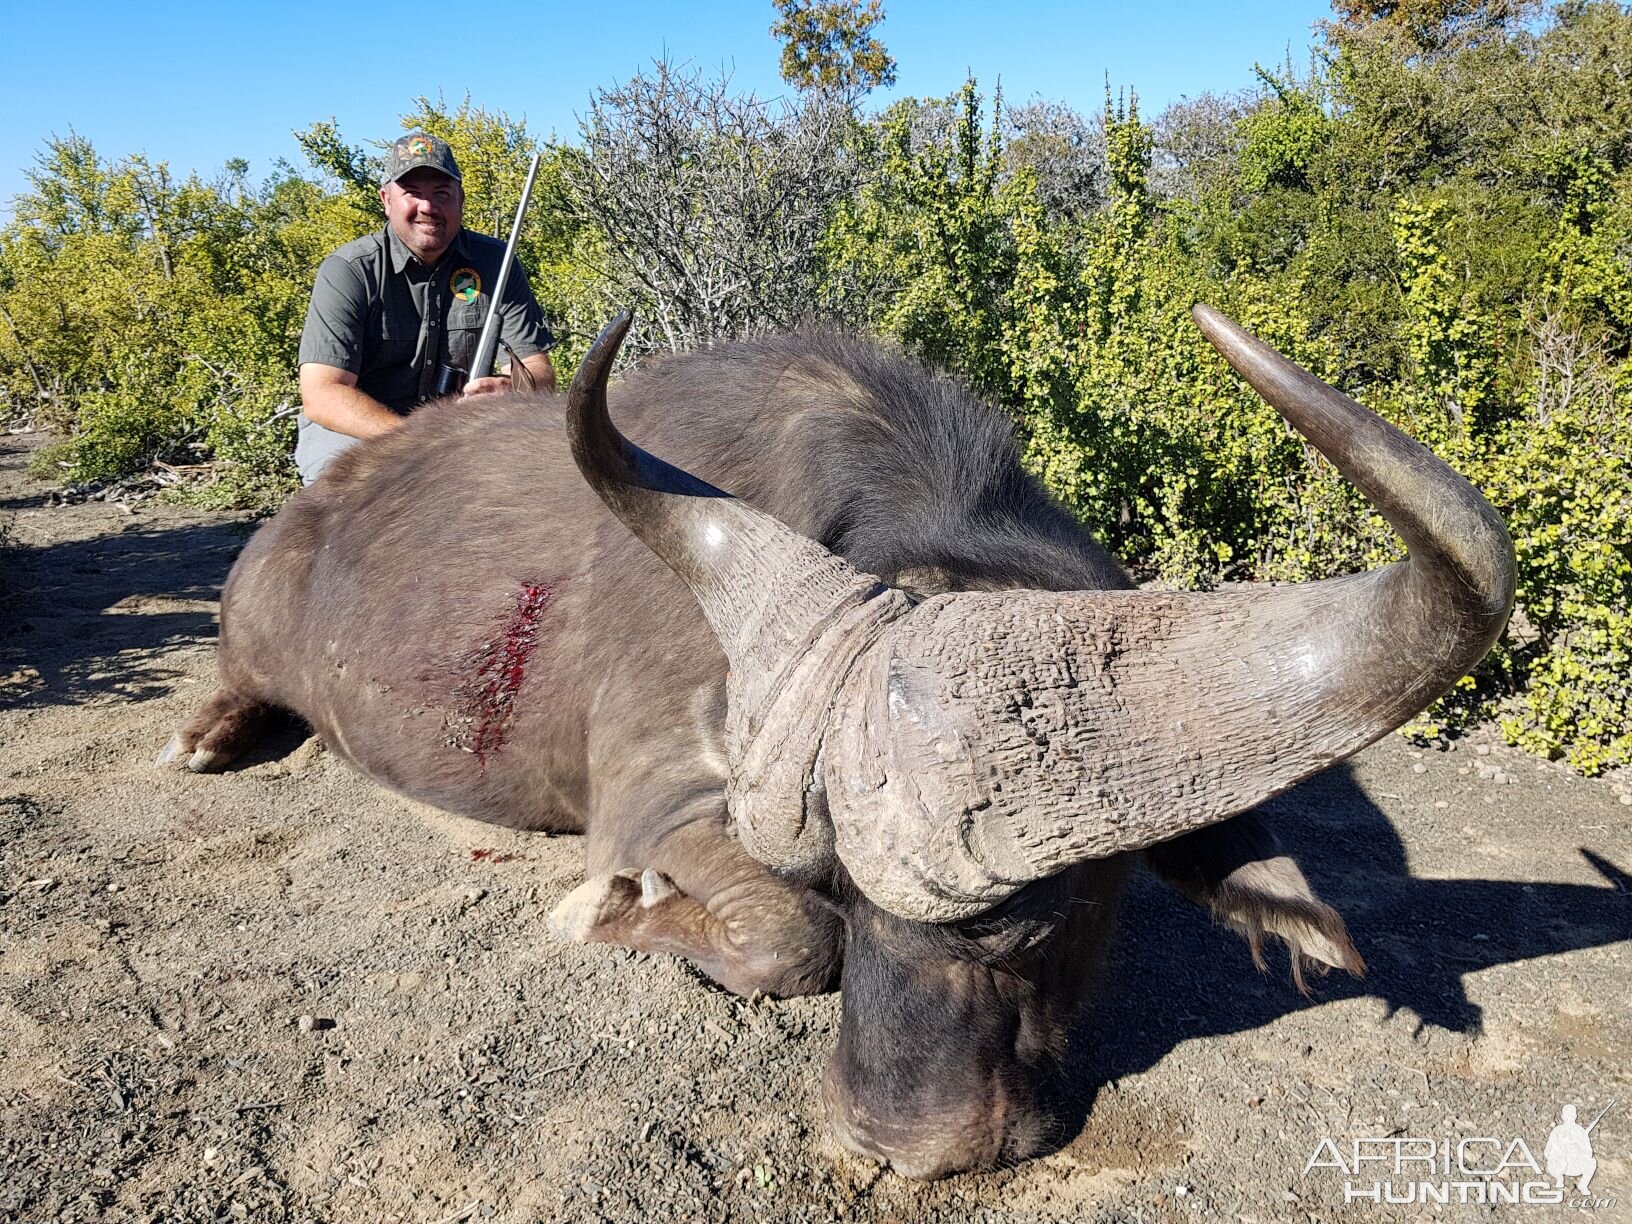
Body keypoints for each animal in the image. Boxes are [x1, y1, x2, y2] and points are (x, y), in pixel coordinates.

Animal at [159, 306, 1507, 1181]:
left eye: (1034, 921)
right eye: (851, 900)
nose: (889, 1146)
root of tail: (298, 523)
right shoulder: (654, 810)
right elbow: (781, 940)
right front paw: (608, 913)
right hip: (252, 645)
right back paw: (211, 733)